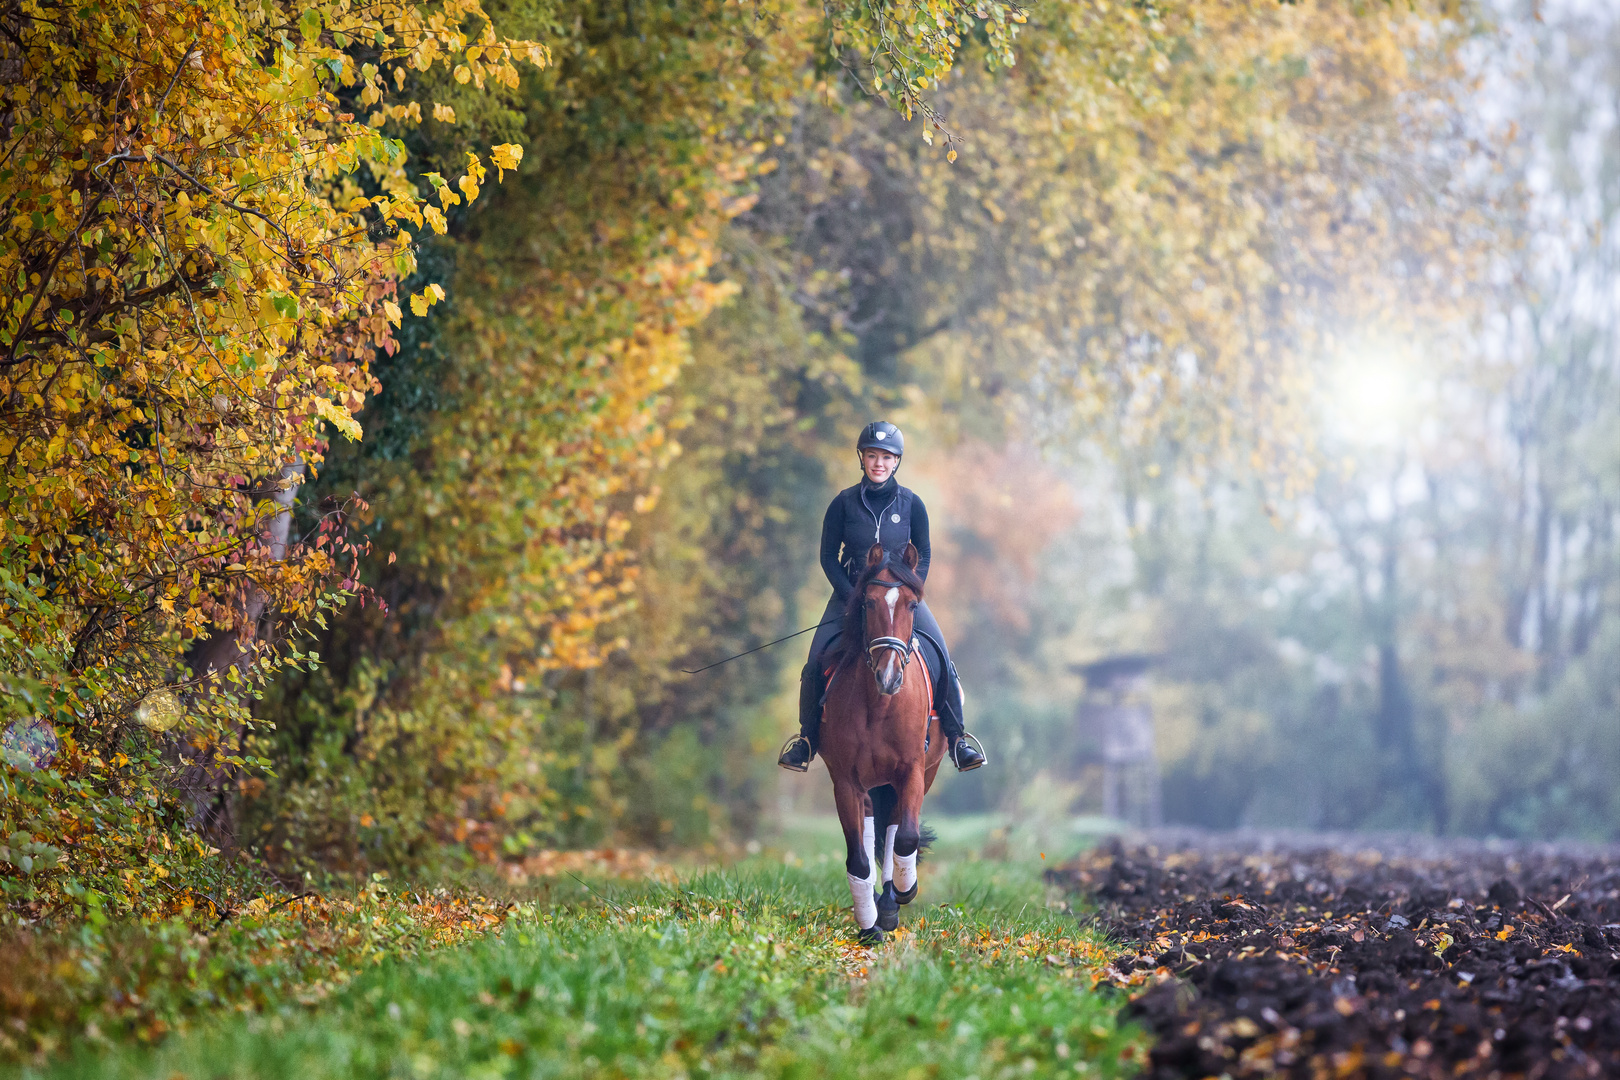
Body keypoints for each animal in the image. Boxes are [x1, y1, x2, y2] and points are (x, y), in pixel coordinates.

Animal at [816, 544, 946, 939]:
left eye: (912, 605)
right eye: (868, 603)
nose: (889, 676)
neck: (880, 704)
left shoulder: (913, 771)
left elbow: (906, 837)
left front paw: (904, 891)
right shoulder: (846, 781)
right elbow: (858, 859)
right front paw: (868, 925)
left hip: (921, 773)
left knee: (893, 827)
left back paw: (891, 899)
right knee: (874, 824)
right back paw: (876, 904)